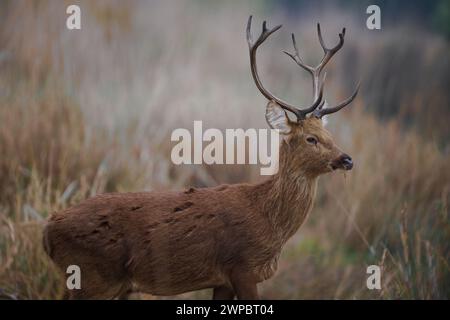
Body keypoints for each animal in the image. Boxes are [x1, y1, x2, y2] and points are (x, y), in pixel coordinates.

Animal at [43, 15, 358, 300]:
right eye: (311, 138)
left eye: (329, 133)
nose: (347, 159)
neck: (269, 220)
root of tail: (47, 231)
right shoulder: (241, 266)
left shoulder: (222, 279)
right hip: (93, 277)